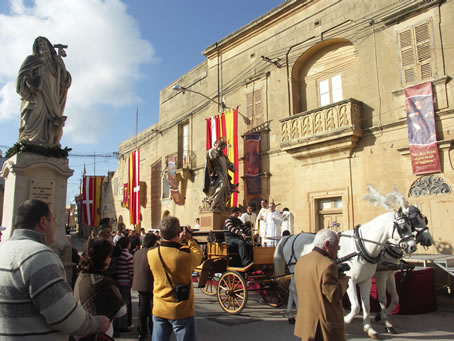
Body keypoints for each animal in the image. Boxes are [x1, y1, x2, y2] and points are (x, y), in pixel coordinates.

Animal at [274, 186, 424, 338]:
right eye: (404, 226)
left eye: (416, 223)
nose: (413, 246)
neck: (362, 246)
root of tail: (290, 237)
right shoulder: (357, 279)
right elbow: (360, 305)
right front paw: (347, 320)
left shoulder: (372, 278)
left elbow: (370, 304)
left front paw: (371, 328)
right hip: (294, 269)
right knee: (294, 289)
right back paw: (298, 312)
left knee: (293, 289)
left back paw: (292, 315)